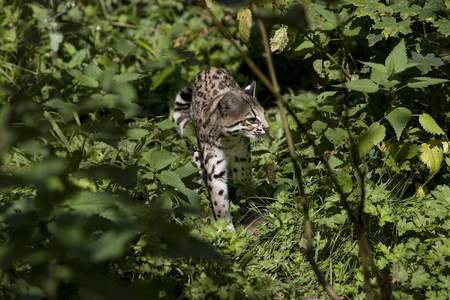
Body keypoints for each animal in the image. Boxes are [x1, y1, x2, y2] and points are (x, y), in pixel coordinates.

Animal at [174, 68, 268, 231]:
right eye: (252, 120)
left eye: (263, 113)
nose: (267, 128)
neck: (229, 140)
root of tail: (207, 68)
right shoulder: (215, 168)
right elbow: (219, 201)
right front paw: (226, 229)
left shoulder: (243, 152)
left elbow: (244, 175)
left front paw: (248, 194)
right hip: (198, 155)